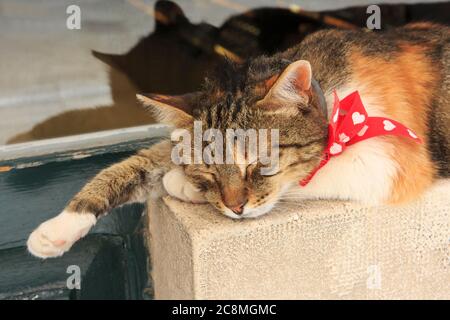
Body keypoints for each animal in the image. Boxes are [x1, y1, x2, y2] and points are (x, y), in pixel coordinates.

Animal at [28, 21, 450, 258]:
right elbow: (138, 163)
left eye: (261, 164)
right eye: (209, 171)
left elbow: (298, 182)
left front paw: (181, 184)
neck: (330, 92)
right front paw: (57, 229)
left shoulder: (391, 163)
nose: (235, 209)